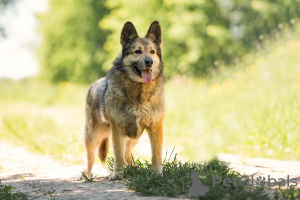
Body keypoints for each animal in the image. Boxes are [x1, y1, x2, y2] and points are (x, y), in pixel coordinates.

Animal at [79, 21, 164, 180]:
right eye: (137, 51)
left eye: (152, 52)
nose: (149, 62)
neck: (139, 90)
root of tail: (94, 84)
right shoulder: (117, 129)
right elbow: (117, 155)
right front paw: (117, 174)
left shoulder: (155, 127)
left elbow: (156, 155)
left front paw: (157, 174)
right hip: (92, 135)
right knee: (90, 156)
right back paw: (86, 175)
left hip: (134, 137)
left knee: (127, 154)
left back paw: (134, 170)